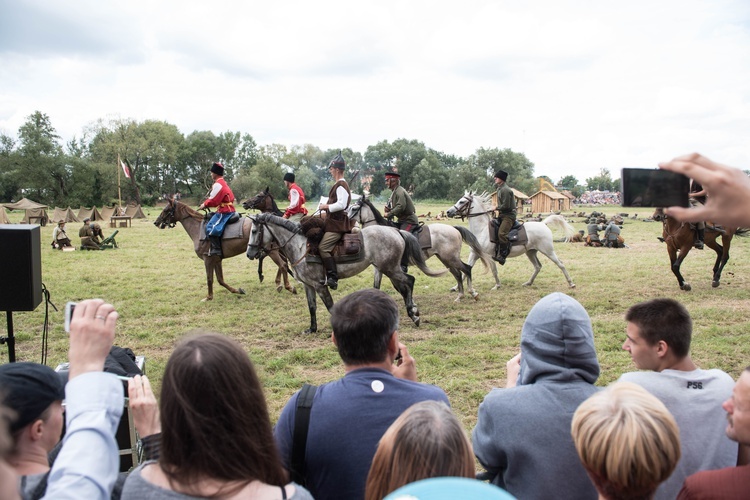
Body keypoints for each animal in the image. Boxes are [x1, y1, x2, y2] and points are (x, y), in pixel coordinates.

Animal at [247, 213, 450, 334]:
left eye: (255, 231)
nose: (249, 254)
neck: (300, 246)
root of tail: (395, 230)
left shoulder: (320, 285)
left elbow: (330, 307)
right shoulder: (308, 285)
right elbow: (312, 307)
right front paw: (312, 329)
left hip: (390, 268)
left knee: (410, 281)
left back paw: (413, 313)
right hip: (389, 268)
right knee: (405, 285)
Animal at [350, 196, 496, 300]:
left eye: (354, 208)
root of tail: (454, 228)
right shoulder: (379, 268)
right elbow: (376, 286)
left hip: (451, 258)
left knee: (466, 268)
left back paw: (472, 292)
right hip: (446, 259)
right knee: (458, 274)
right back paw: (460, 295)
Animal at [450, 193, 580, 292]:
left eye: (462, 202)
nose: (448, 212)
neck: (482, 230)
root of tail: (543, 224)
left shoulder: (488, 256)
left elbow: (494, 270)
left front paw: (497, 285)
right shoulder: (475, 254)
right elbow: (465, 270)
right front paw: (456, 287)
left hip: (548, 251)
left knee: (560, 264)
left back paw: (571, 283)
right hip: (531, 252)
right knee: (538, 266)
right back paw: (528, 283)